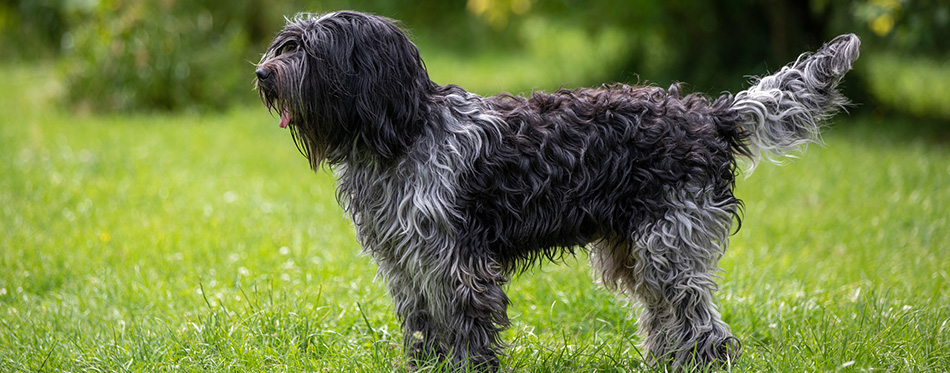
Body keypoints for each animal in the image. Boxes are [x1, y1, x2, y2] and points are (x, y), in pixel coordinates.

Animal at [255, 10, 864, 370]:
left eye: (308, 50)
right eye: (285, 45)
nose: (262, 74)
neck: (404, 133)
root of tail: (711, 115)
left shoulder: (454, 262)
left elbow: (465, 326)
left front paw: (467, 368)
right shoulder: (405, 263)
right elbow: (423, 326)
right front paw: (424, 366)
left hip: (669, 246)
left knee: (701, 323)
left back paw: (701, 363)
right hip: (637, 251)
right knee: (666, 318)